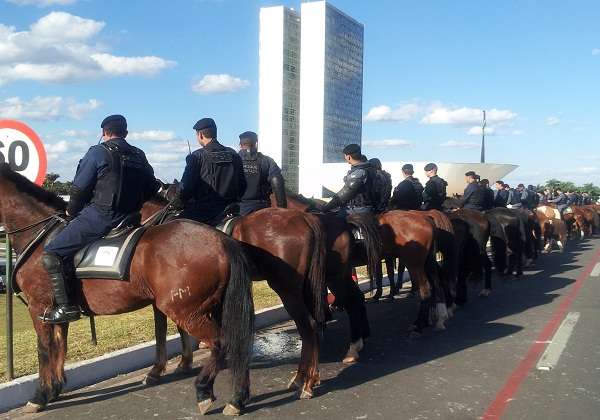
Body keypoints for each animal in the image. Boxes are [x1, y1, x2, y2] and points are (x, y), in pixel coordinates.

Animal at [0, 165, 253, 416]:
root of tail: (220, 240)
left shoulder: (38, 307)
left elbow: (44, 349)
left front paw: (40, 396)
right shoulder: (56, 311)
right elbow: (59, 345)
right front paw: (55, 388)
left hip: (186, 311)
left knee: (222, 343)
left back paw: (204, 390)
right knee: (237, 342)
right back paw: (238, 398)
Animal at [141, 194, 328, 398]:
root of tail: (304, 219)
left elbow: (163, 327)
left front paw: (162, 369)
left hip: (287, 289)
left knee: (308, 326)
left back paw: (305, 382)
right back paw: (308, 378)